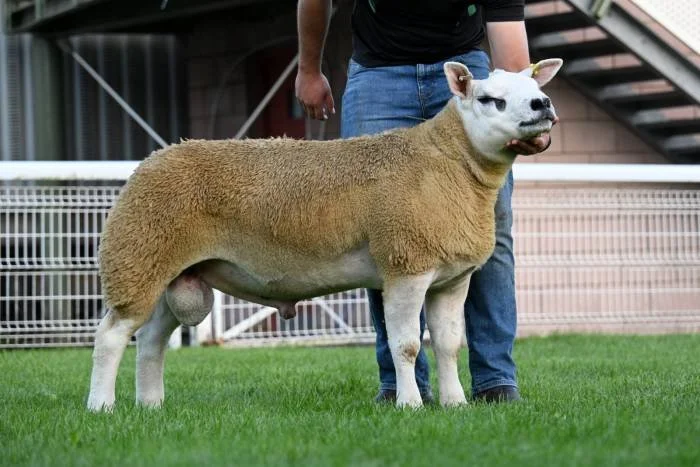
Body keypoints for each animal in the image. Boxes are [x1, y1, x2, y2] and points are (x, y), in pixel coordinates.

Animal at [88, 58, 563, 411]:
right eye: (490, 99)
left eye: (532, 87)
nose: (542, 104)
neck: (448, 163)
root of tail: (152, 160)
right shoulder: (405, 263)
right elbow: (407, 346)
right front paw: (410, 405)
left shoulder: (452, 277)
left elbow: (447, 345)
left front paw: (456, 404)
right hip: (137, 255)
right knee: (111, 336)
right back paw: (102, 407)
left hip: (169, 268)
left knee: (150, 340)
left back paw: (151, 405)